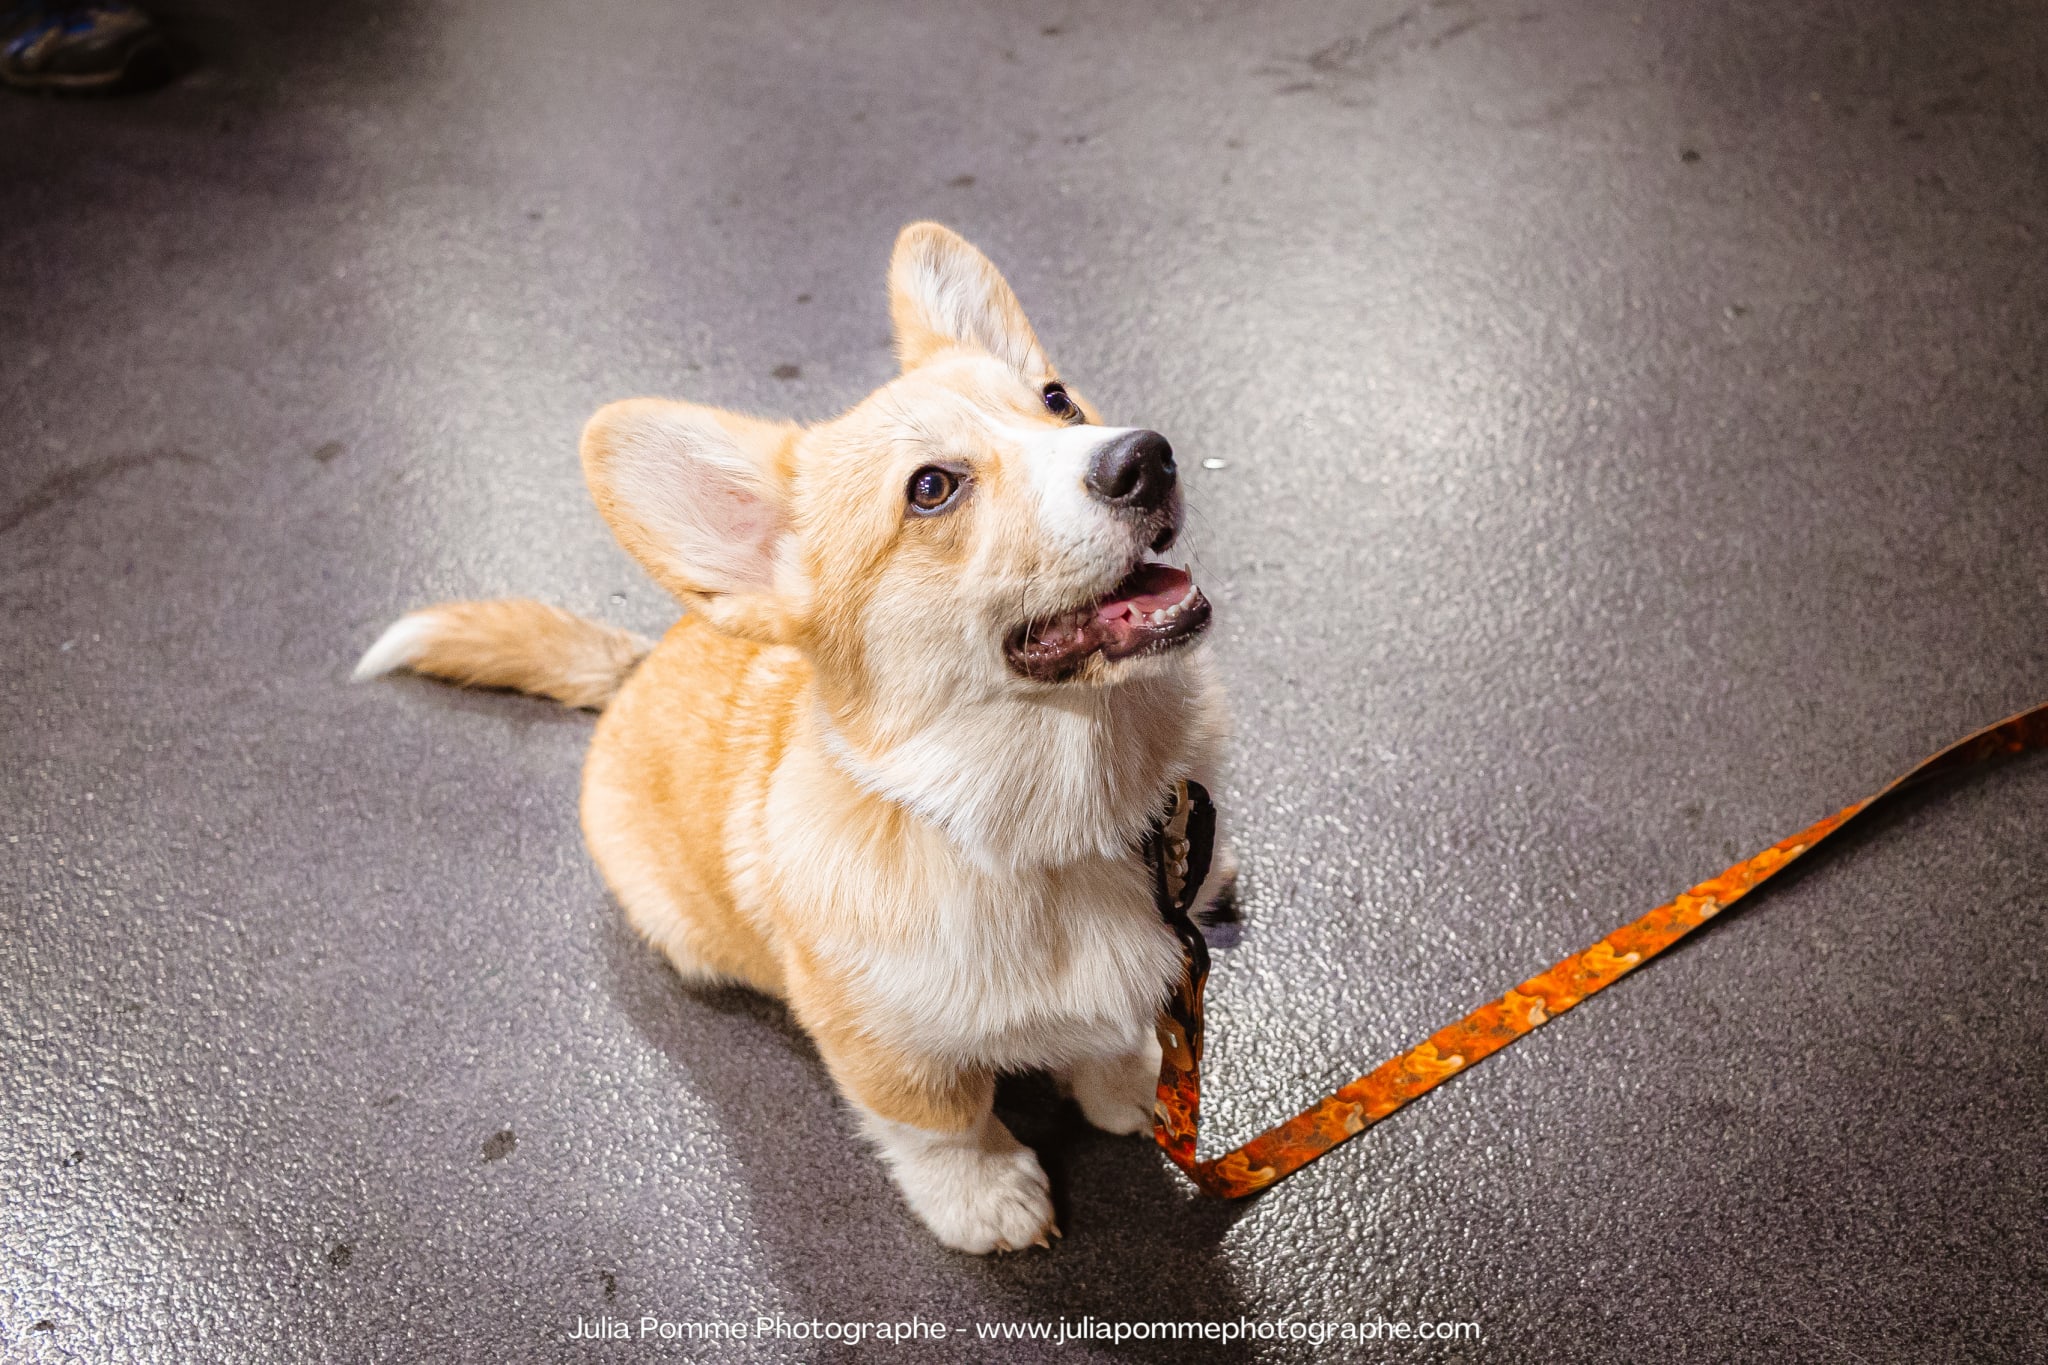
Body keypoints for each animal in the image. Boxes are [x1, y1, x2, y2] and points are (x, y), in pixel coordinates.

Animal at [352, 227, 1228, 1260]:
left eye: (1056, 401)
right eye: (932, 489)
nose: (1147, 456)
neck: (1045, 824)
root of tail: (639, 663)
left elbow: (1107, 1036)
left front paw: (1133, 1085)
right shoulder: (883, 1046)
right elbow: (945, 1123)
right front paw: (988, 1198)